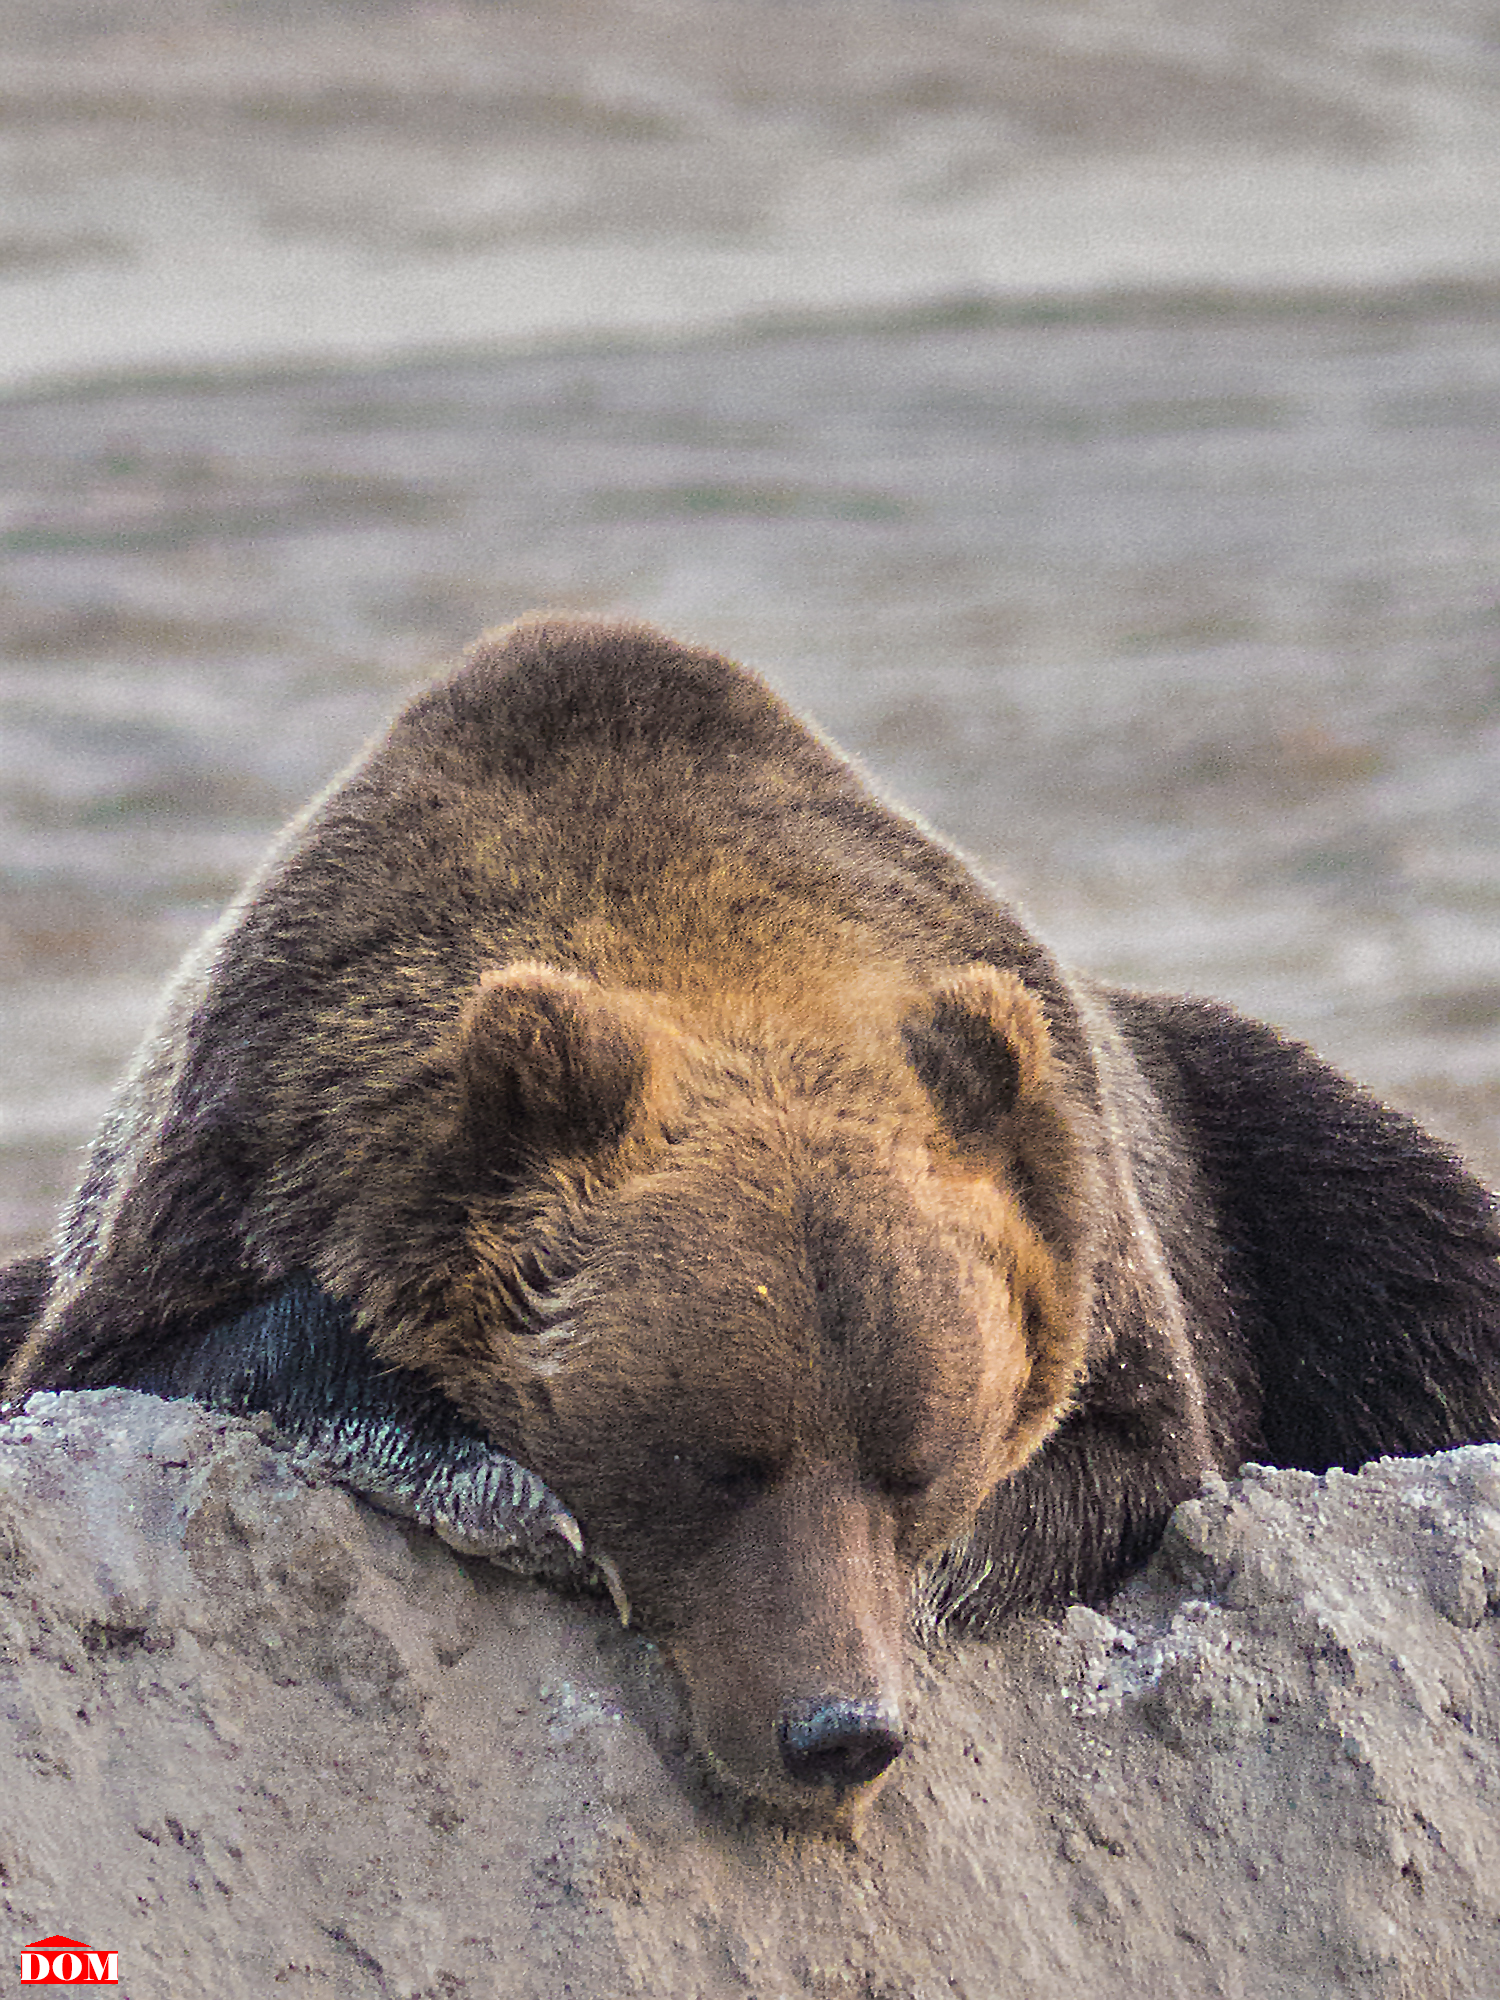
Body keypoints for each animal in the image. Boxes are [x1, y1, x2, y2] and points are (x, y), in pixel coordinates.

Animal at [2, 616, 1500, 1832]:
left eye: (914, 1462)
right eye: (715, 1460)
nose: (838, 1731)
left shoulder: (1112, 1242)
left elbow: (1123, 1458)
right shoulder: (248, 1142)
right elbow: (177, 1352)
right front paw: (515, 1494)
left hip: (1278, 1162)